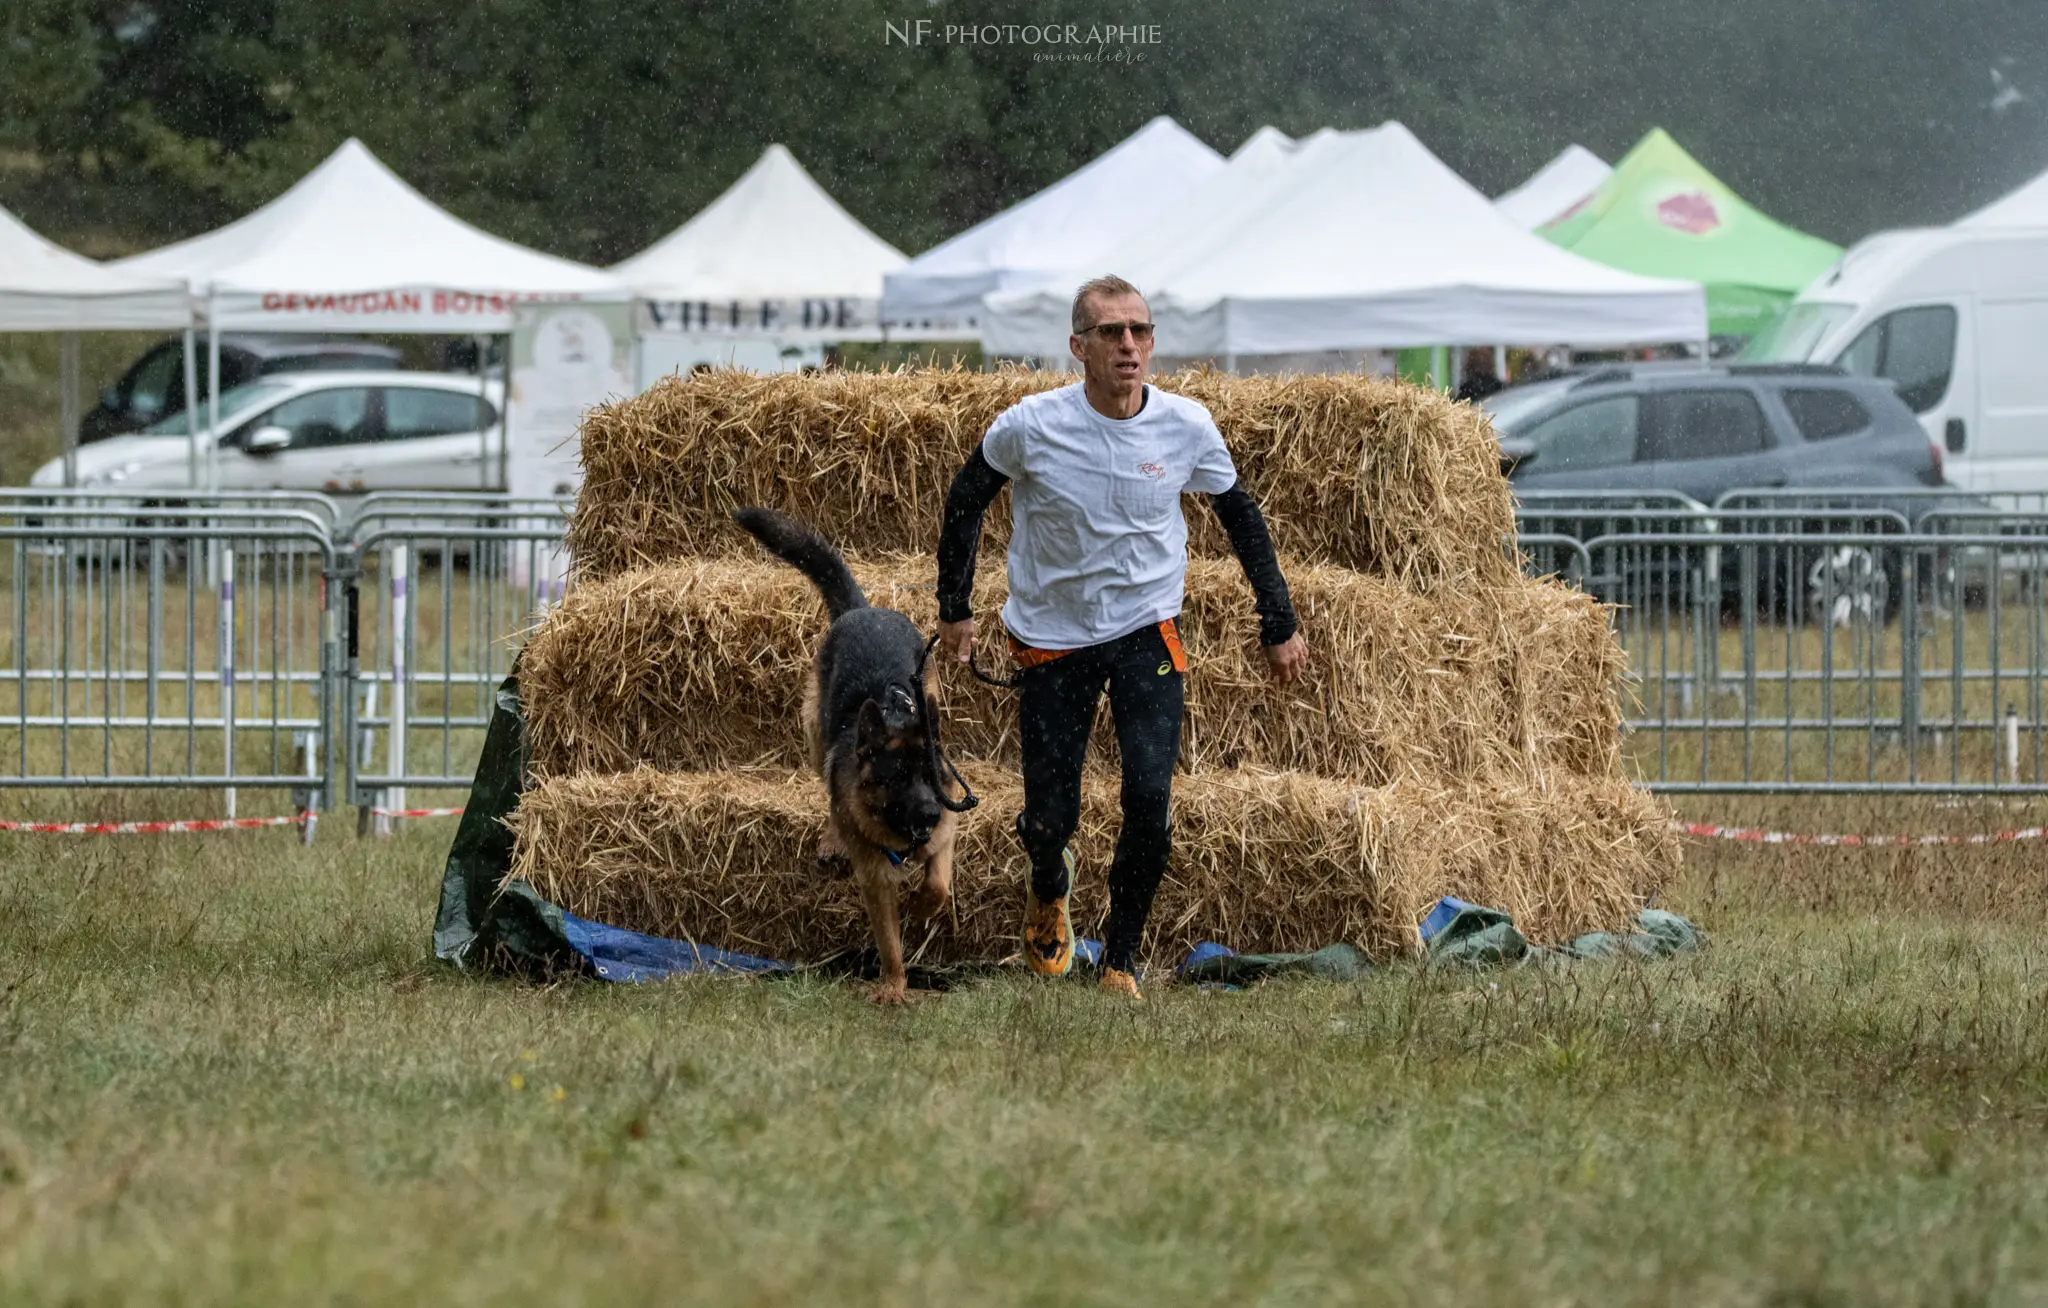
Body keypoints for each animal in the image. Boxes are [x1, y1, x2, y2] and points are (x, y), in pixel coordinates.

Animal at [733, 509, 962, 1003]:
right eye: (897, 777)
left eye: (930, 777)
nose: (929, 813)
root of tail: (863, 609)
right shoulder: (874, 877)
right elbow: (889, 941)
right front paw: (893, 987)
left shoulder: (946, 831)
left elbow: (938, 884)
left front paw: (922, 904)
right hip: (814, 731)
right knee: (827, 788)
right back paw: (833, 835)